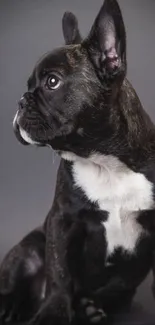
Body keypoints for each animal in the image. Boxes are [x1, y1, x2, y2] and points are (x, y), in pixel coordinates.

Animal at [0, 0, 155, 322]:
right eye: (29, 84)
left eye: (52, 82)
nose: (21, 100)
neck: (103, 160)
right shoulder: (62, 219)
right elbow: (59, 274)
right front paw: (53, 312)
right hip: (28, 249)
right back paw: (10, 307)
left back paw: (93, 307)